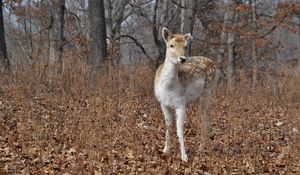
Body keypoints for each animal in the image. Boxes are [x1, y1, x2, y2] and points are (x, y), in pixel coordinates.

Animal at [155, 28, 216, 162]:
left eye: (186, 46)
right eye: (171, 45)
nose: (182, 58)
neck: (168, 89)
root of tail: (213, 63)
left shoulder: (181, 103)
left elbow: (180, 130)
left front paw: (184, 156)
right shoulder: (163, 104)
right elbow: (168, 126)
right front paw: (165, 151)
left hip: (207, 91)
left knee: (204, 119)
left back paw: (201, 148)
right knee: (207, 117)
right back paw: (209, 139)